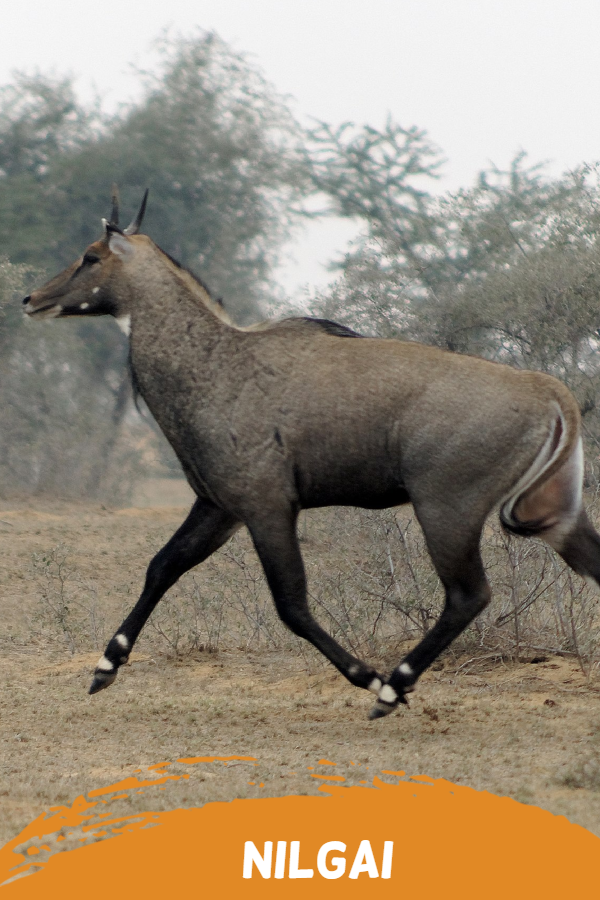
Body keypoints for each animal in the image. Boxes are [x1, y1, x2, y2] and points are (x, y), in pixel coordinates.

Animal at [21, 188, 600, 716]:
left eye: (91, 255)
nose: (31, 299)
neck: (214, 362)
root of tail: (550, 392)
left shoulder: (267, 507)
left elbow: (291, 604)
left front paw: (369, 677)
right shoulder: (220, 506)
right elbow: (162, 565)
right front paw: (105, 666)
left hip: (446, 508)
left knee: (468, 595)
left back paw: (393, 687)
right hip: (554, 512)